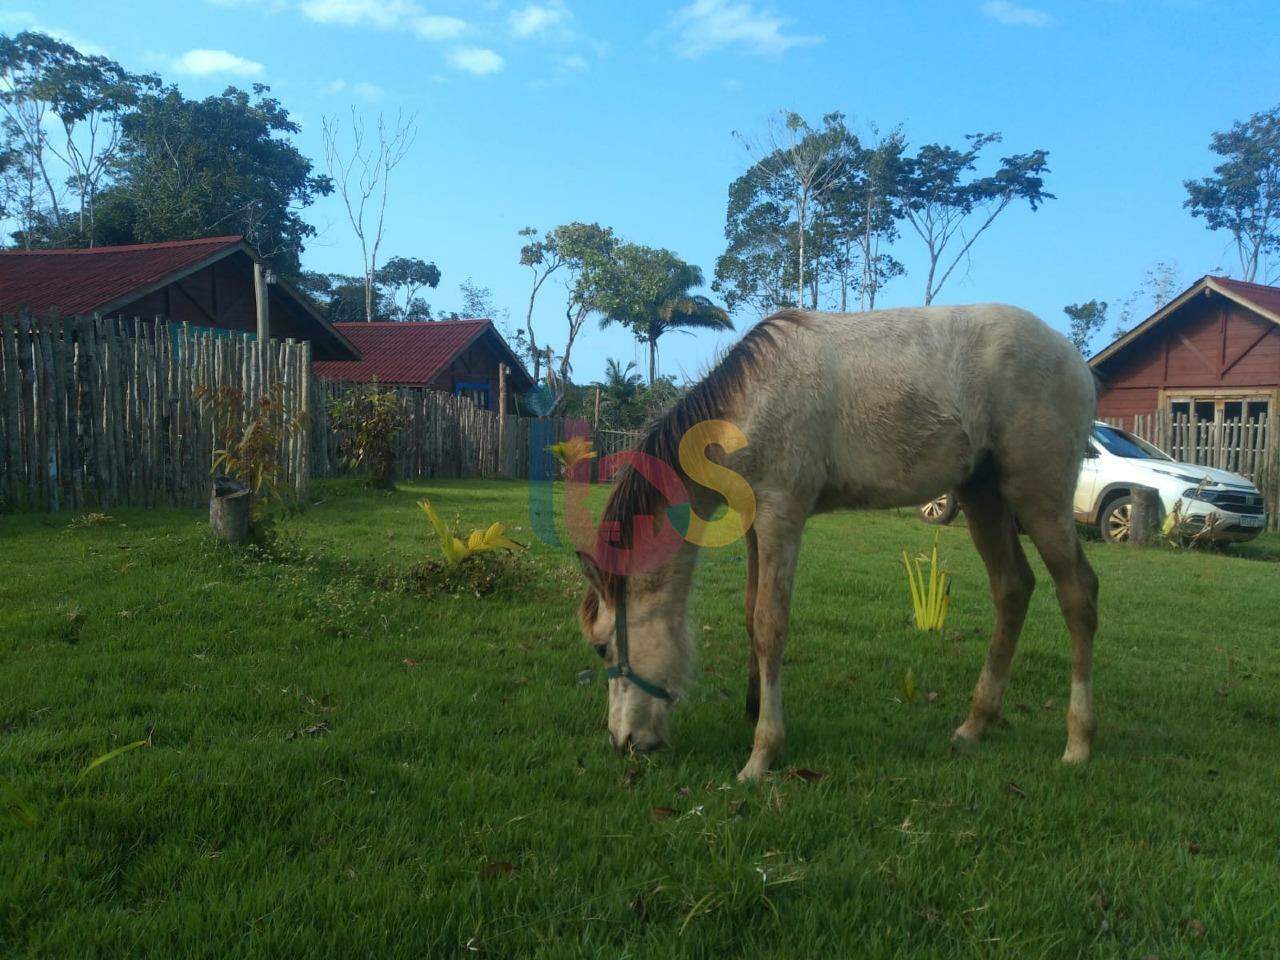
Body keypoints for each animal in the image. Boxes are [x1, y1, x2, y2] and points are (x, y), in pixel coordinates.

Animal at [576, 308, 1095, 783]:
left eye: (602, 649)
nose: (621, 742)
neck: (750, 402)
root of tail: (1073, 357)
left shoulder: (781, 516)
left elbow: (769, 625)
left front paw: (761, 753)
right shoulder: (754, 524)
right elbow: (749, 614)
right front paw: (752, 708)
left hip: (1039, 499)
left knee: (1078, 594)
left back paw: (1077, 742)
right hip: (981, 495)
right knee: (1012, 589)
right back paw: (975, 725)